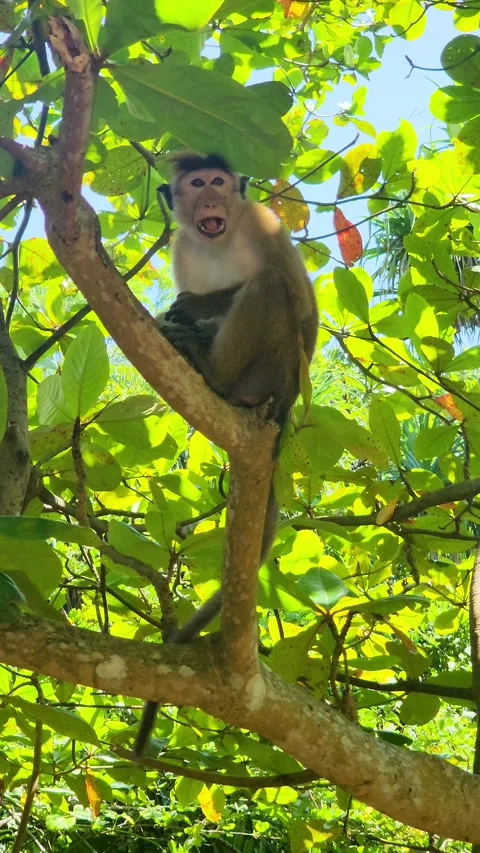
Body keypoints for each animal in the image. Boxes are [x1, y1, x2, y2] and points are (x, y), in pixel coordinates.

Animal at [133, 152, 318, 759]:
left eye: (217, 180)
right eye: (196, 185)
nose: (211, 198)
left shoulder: (264, 223)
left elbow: (300, 303)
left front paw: (195, 309)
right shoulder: (182, 250)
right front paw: (185, 312)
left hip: (273, 371)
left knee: (272, 288)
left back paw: (212, 367)